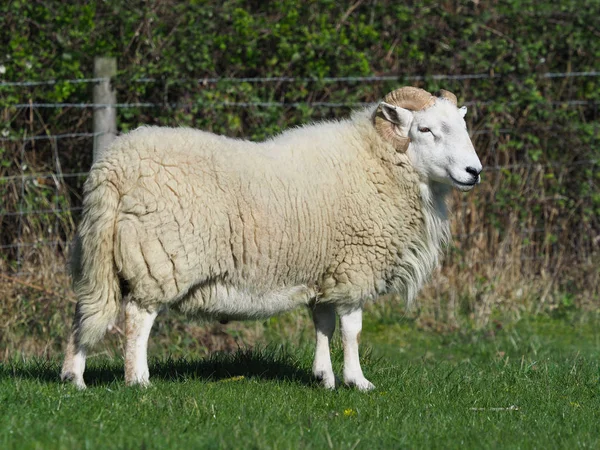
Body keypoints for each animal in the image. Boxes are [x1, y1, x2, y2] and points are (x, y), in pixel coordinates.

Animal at [61, 86, 482, 388]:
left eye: (462, 129)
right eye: (425, 130)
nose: (474, 171)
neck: (378, 161)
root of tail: (112, 168)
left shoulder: (325, 270)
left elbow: (323, 325)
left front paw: (324, 377)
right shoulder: (355, 267)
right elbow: (352, 330)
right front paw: (357, 381)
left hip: (98, 257)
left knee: (86, 311)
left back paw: (74, 378)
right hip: (161, 258)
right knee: (137, 317)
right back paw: (139, 381)